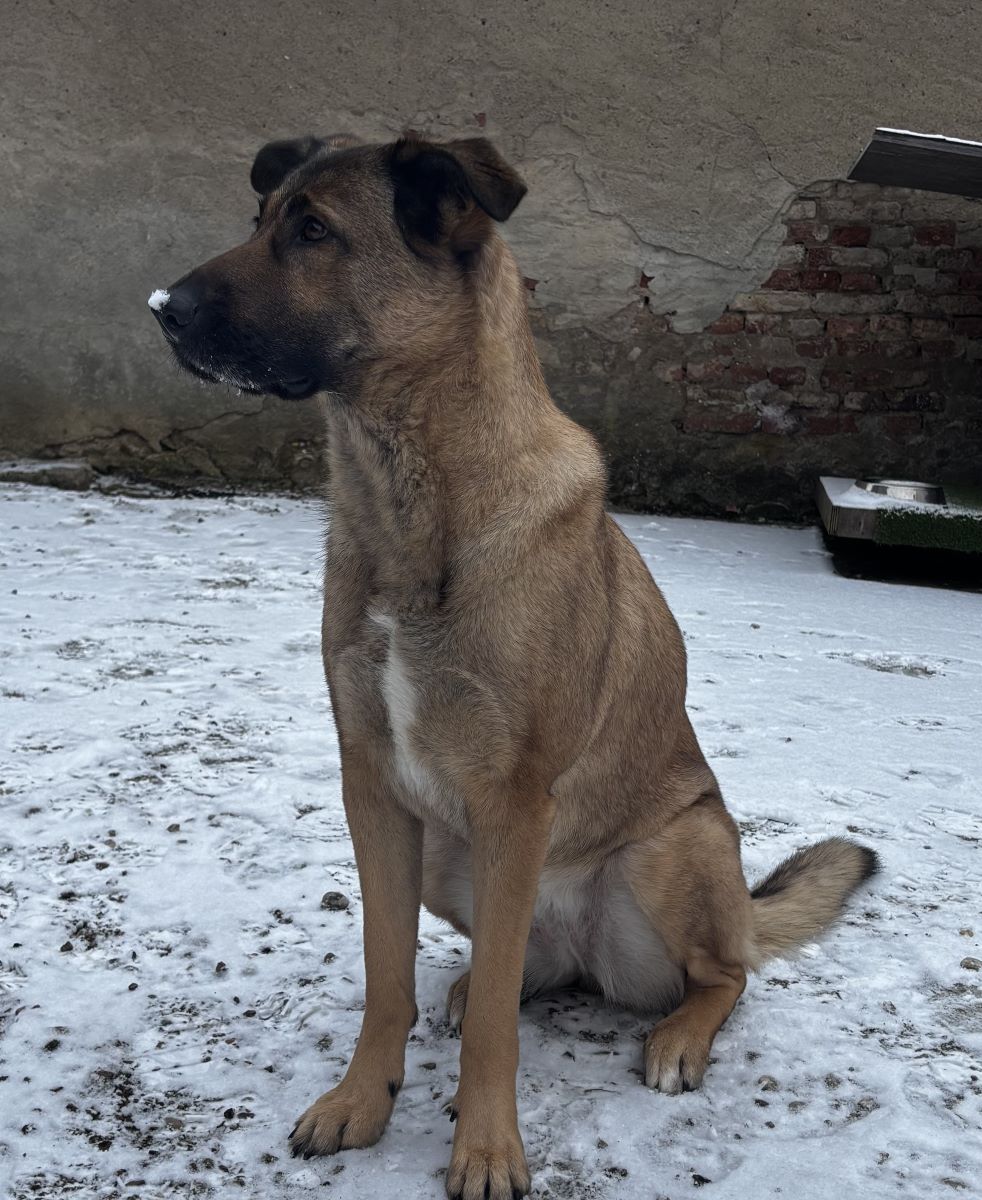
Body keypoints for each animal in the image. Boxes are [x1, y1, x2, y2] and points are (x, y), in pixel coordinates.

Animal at [150, 131, 879, 1200]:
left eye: (315, 231)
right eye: (260, 220)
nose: (160, 308)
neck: (416, 502)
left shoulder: (513, 800)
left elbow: (499, 1024)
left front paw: (487, 1149)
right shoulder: (374, 788)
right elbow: (385, 976)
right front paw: (363, 1100)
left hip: (667, 851)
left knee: (724, 973)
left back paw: (678, 1037)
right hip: (451, 859)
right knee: (522, 969)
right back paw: (474, 986)